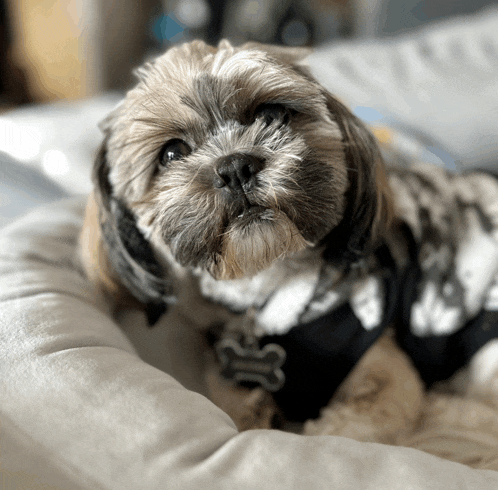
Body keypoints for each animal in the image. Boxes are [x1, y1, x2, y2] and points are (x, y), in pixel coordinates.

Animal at [80, 40, 498, 442]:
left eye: (271, 115)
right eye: (171, 153)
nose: (235, 166)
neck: (267, 287)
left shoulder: (389, 382)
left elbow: (339, 431)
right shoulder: (231, 380)